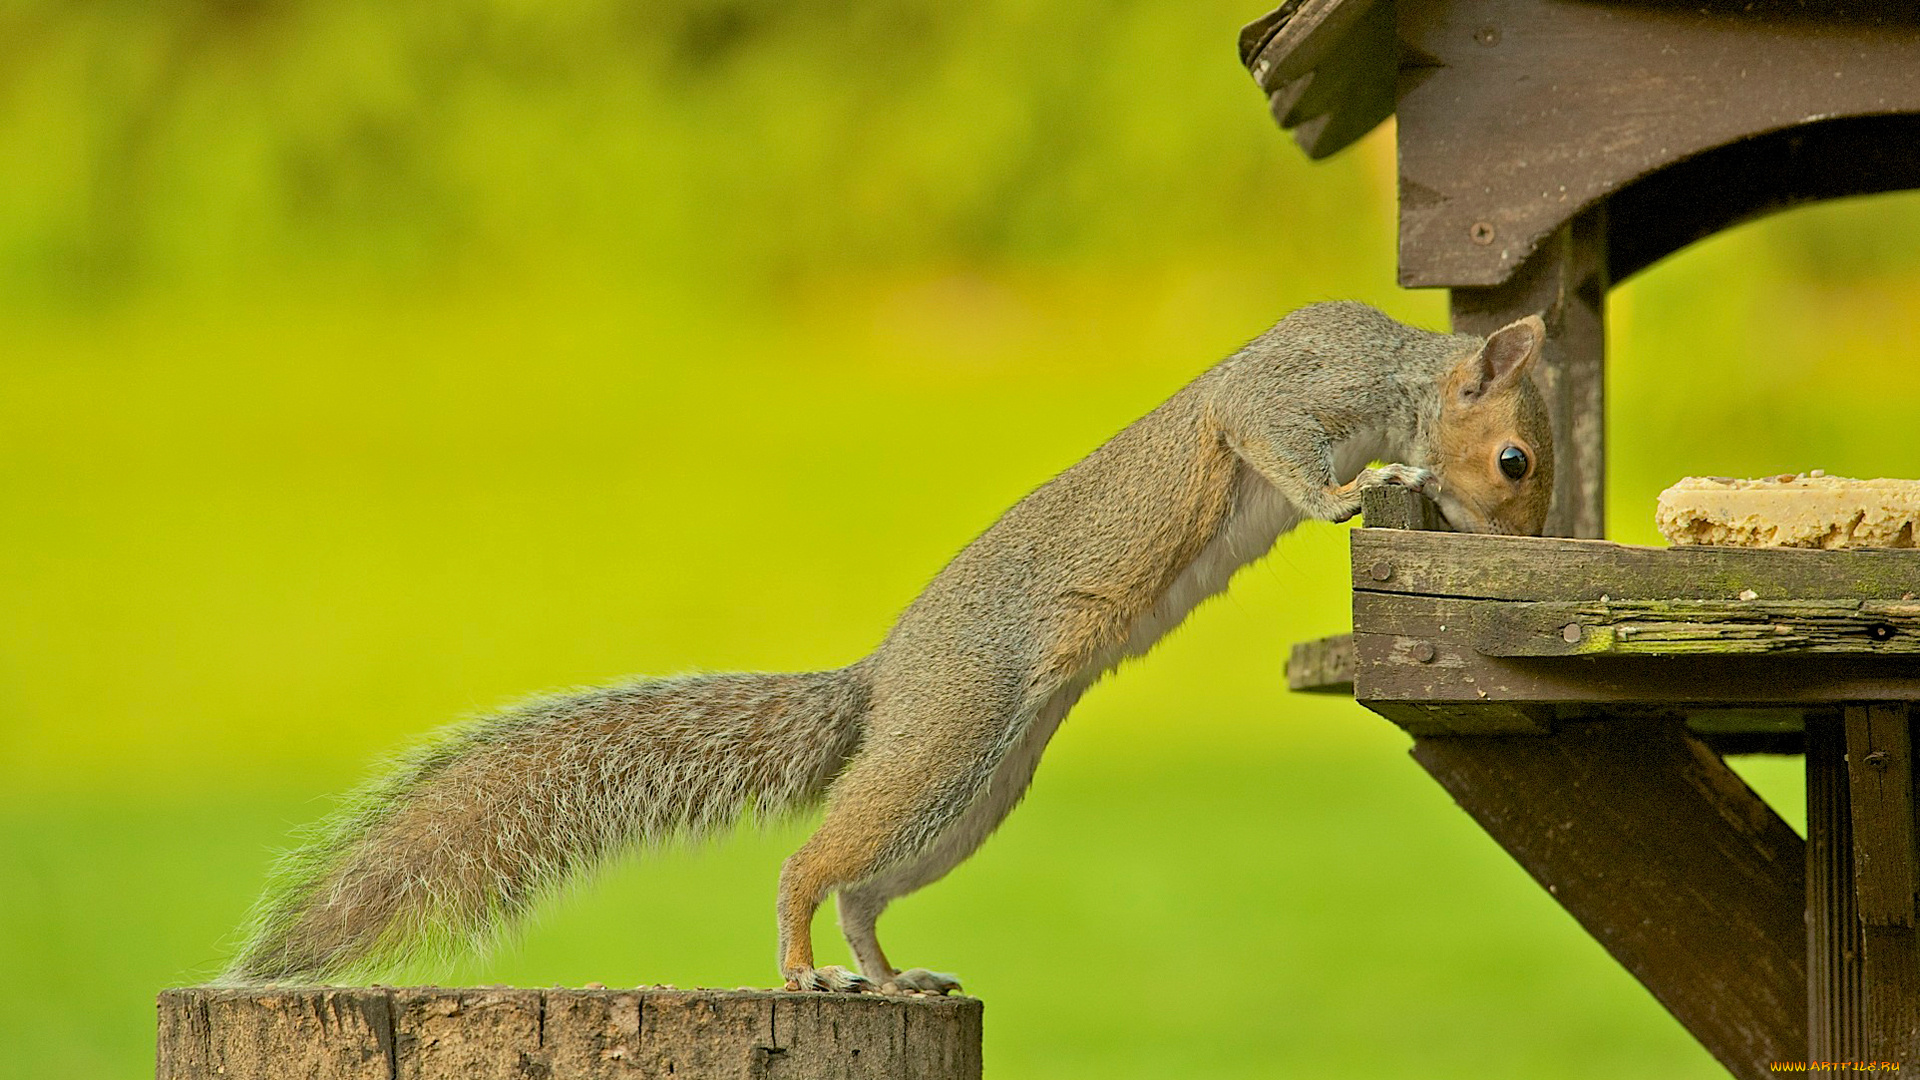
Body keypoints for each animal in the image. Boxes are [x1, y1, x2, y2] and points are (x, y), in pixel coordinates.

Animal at [224, 299, 1551, 991]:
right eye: (1515, 460)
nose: (1534, 542)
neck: (1390, 371)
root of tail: (886, 679)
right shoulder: (1278, 394)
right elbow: (1273, 446)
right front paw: (1357, 493)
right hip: (952, 737)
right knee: (811, 867)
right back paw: (804, 964)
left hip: (975, 795)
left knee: (865, 888)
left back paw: (886, 974)